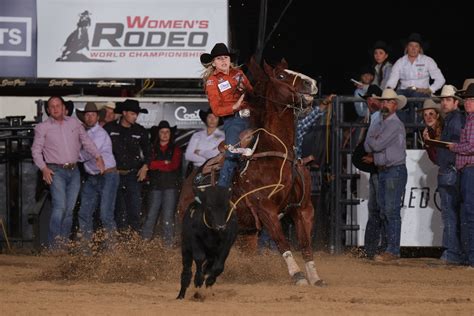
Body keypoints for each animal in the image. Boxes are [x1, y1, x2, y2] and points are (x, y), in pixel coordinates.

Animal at [228, 58, 324, 286]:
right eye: (281, 75)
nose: (312, 82)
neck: (278, 153)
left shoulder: (303, 208)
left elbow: (305, 244)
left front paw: (314, 276)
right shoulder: (265, 209)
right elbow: (282, 242)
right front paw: (297, 275)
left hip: (245, 231)